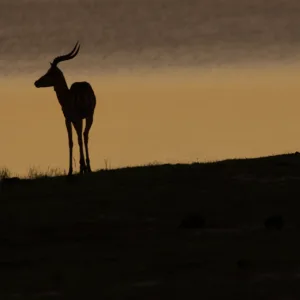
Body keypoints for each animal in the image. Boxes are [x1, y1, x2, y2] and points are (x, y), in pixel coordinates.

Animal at [34, 42, 96, 176]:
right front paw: (75, 169)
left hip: (83, 118)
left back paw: (85, 167)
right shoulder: (72, 120)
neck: (67, 97)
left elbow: (72, 141)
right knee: (84, 136)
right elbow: (72, 141)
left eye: (50, 72)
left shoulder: (69, 119)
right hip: (87, 117)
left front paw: (74, 169)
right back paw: (88, 167)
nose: (36, 82)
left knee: (81, 137)